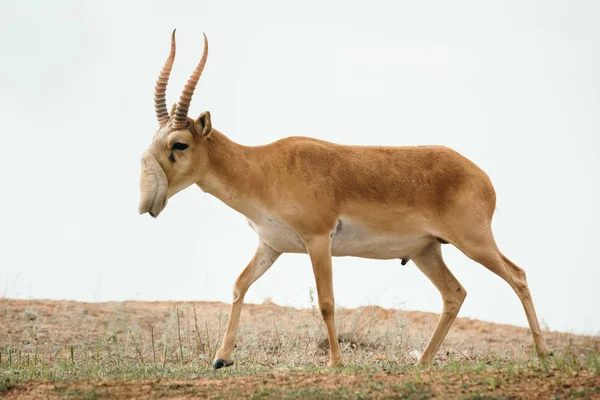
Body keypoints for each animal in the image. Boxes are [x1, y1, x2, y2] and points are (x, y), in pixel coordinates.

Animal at [138, 30, 552, 368]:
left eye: (179, 144)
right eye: (155, 141)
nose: (147, 204)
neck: (265, 168)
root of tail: (482, 177)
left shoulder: (318, 240)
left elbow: (326, 301)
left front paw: (336, 364)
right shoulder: (270, 246)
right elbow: (240, 285)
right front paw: (221, 358)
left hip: (473, 243)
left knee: (518, 276)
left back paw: (544, 356)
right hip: (427, 251)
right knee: (455, 293)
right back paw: (422, 363)